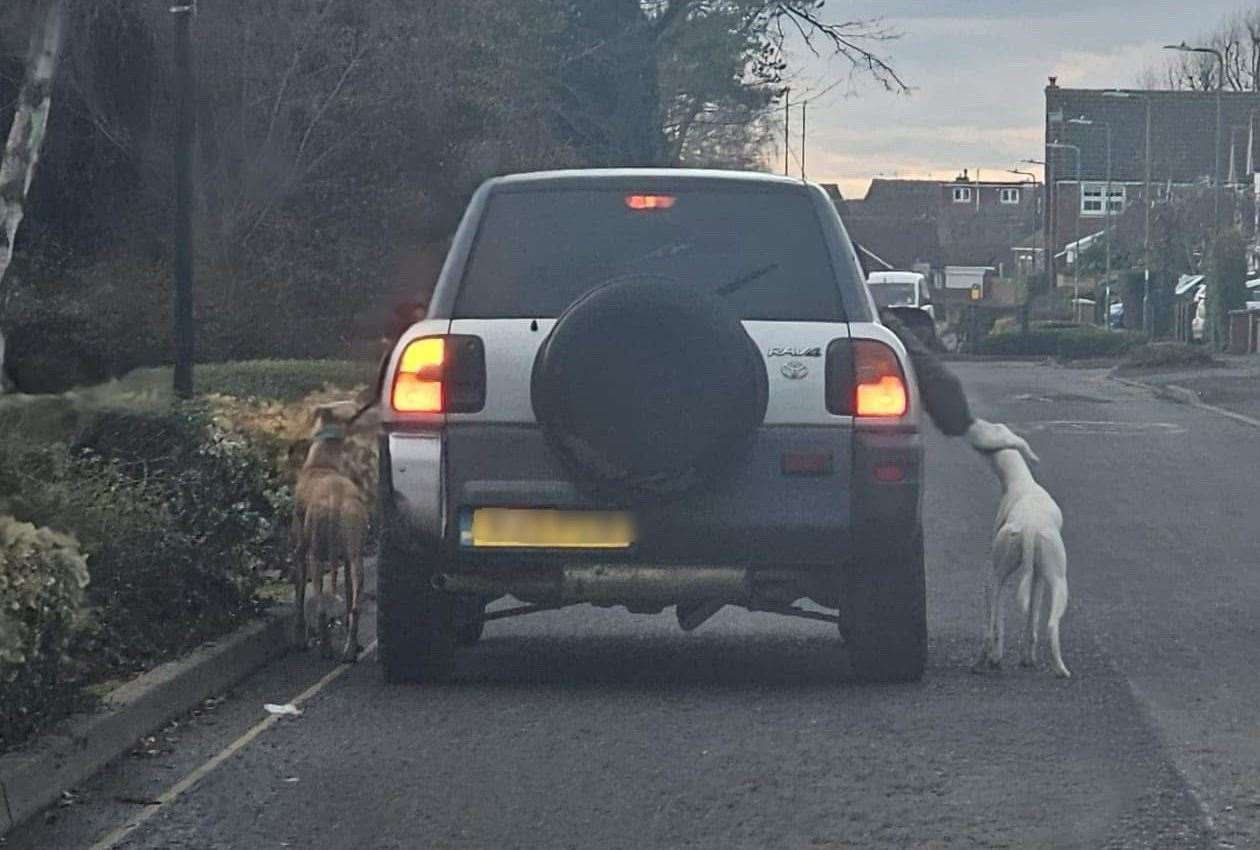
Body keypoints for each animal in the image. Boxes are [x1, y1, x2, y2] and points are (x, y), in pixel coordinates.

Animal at [292, 402, 370, 659]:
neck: (323, 464)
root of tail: (335, 500)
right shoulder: (345, 558)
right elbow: (346, 593)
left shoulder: (300, 550)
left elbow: (299, 593)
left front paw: (300, 638)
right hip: (355, 555)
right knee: (354, 604)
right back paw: (350, 648)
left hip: (315, 555)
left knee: (319, 603)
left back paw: (325, 646)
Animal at [967, 428, 1068, 680]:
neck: (1021, 482)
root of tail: (1030, 528)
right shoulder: (1039, 577)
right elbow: (1032, 621)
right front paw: (1027, 659)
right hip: (1059, 580)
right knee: (1051, 625)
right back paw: (1060, 669)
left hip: (995, 578)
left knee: (991, 629)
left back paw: (986, 661)